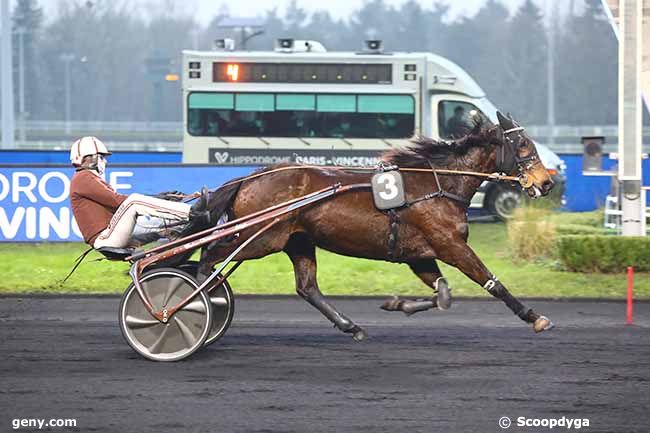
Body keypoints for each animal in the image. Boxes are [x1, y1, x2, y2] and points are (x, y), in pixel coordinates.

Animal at [194, 112, 552, 340]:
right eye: (523, 145)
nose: (546, 182)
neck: (437, 185)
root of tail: (250, 177)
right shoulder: (451, 245)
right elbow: (491, 283)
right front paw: (534, 317)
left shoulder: (420, 255)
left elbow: (443, 293)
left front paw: (397, 304)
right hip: (260, 238)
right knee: (210, 255)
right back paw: (197, 297)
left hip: (297, 240)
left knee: (307, 287)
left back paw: (351, 326)